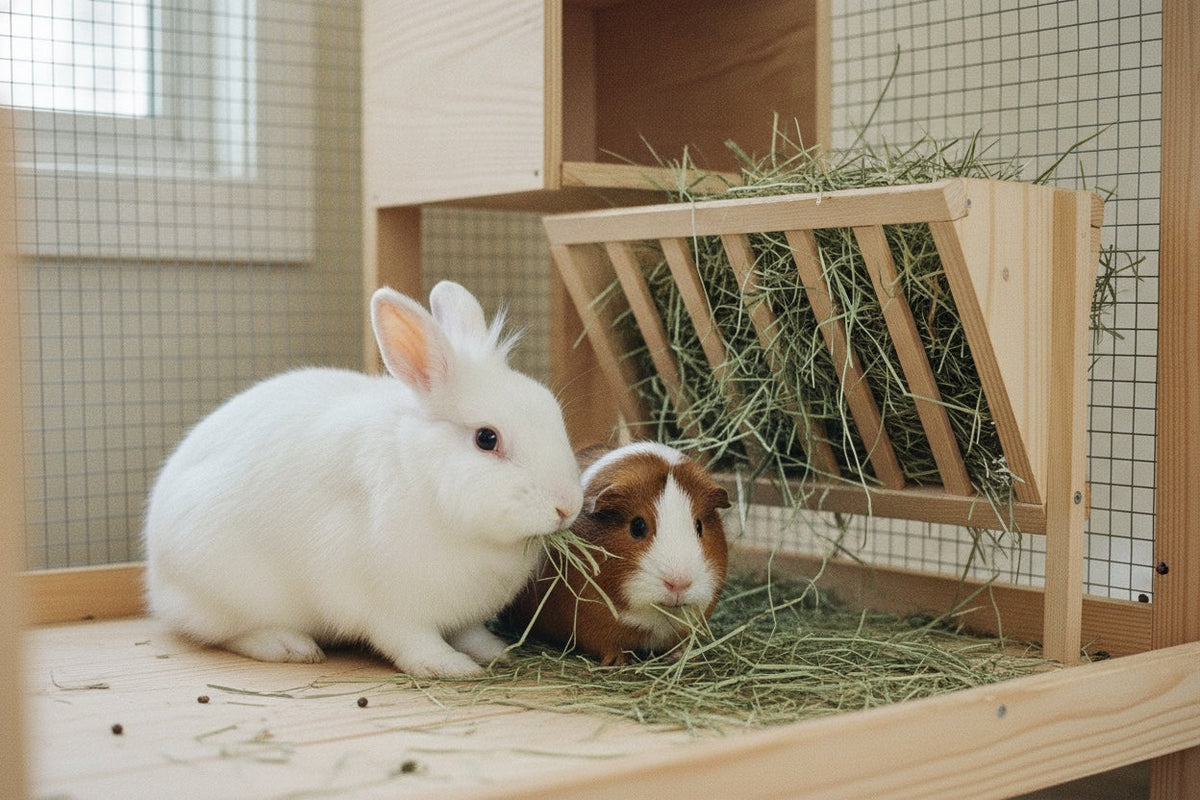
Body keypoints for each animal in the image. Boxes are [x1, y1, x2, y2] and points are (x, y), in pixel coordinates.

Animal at [142, 281, 583, 679]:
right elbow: (411, 640)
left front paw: (496, 652)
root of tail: (157, 580)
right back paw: (289, 646)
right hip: (229, 589)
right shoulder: (387, 605)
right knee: (226, 632)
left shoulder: (464, 613)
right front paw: (450, 667)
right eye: (486, 439)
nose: (567, 506)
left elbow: (469, 633)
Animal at [506, 441, 730, 666]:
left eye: (699, 526)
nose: (678, 584)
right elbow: (607, 644)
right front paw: (617, 662)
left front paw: (682, 655)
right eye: (637, 526)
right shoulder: (594, 628)